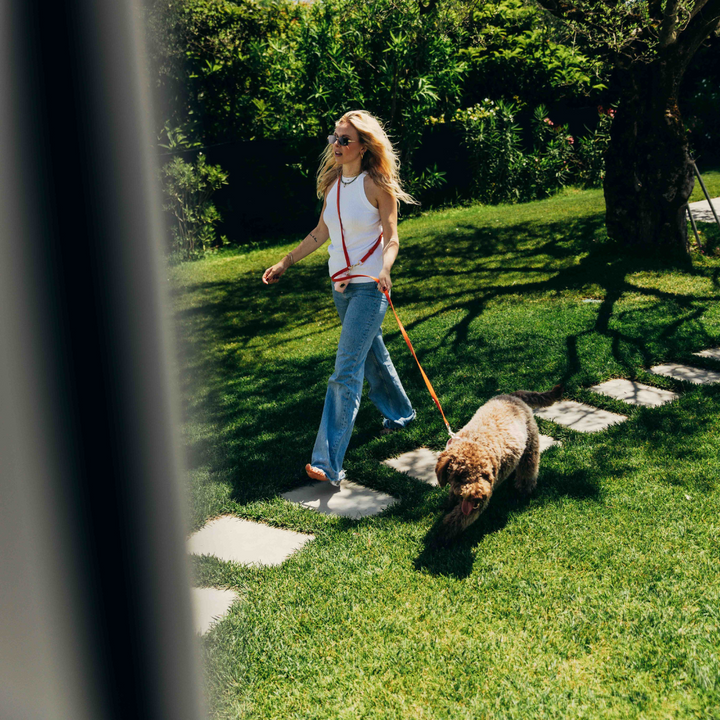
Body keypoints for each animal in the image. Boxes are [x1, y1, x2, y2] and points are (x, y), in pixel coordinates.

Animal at [434, 386, 564, 536]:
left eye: (485, 475)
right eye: (460, 476)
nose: (478, 497)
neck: (474, 440)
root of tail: (513, 396)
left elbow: (459, 519)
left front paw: (442, 532)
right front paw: (450, 502)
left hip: (530, 446)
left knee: (528, 470)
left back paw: (524, 490)